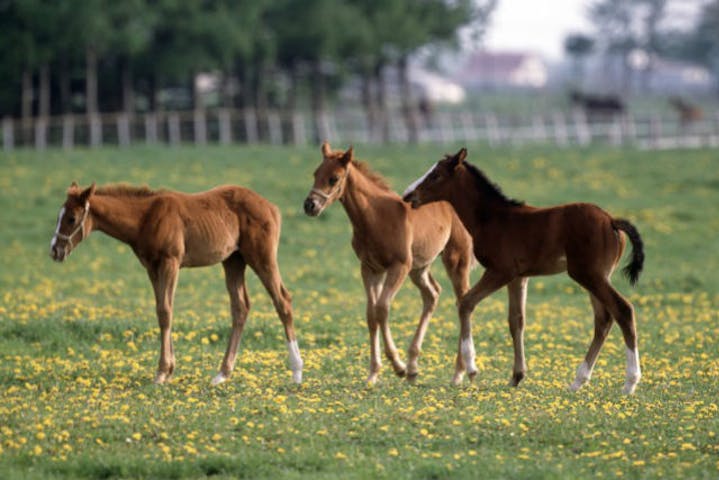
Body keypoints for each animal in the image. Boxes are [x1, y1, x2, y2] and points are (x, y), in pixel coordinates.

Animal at [50, 182, 304, 384]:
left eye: (71, 218)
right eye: (58, 216)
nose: (55, 251)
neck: (146, 217)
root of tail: (272, 207)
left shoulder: (170, 262)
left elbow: (165, 311)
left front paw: (162, 372)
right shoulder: (152, 268)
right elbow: (162, 311)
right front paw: (169, 369)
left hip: (262, 257)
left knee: (283, 301)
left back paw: (296, 372)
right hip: (233, 260)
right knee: (240, 307)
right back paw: (222, 374)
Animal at [304, 141, 478, 384]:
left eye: (334, 178)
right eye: (315, 174)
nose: (309, 205)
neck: (376, 217)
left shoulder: (399, 267)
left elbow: (382, 308)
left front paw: (398, 366)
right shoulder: (370, 268)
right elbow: (371, 314)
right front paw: (373, 374)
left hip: (455, 259)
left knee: (463, 301)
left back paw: (459, 372)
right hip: (420, 267)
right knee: (432, 294)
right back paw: (414, 366)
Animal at [404, 149, 648, 394]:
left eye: (436, 175)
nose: (408, 195)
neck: (492, 218)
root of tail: (611, 221)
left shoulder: (500, 271)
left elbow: (466, 303)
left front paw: (472, 369)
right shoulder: (519, 278)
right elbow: (516, 320)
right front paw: (516, 376)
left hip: (589, 275)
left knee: (623, 310)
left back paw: (630, 382)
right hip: (596, 277)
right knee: (603, 319)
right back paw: (578, 381)